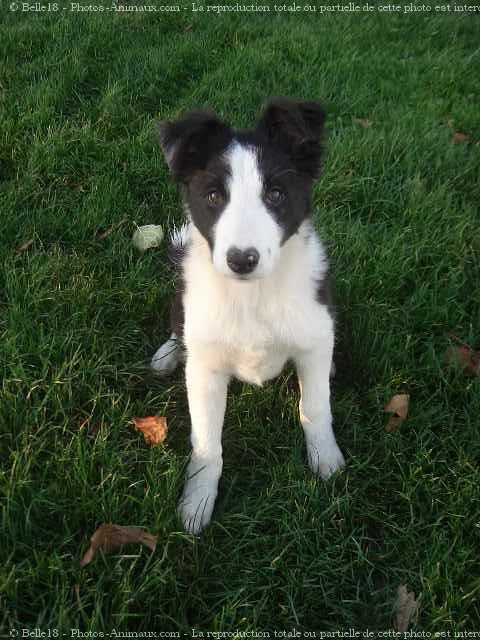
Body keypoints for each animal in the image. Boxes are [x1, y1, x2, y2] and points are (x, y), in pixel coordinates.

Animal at [152, 97, 344, 532]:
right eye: (212, 197)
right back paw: (167, 355)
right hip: (181, 300)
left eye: (275, 194)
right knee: (177, 328)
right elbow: (207, 442)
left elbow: (315, 408)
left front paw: (326, 459)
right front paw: (197, 502)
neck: (251, 295)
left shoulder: (313, 335)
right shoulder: (206, 370)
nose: (241, 260)